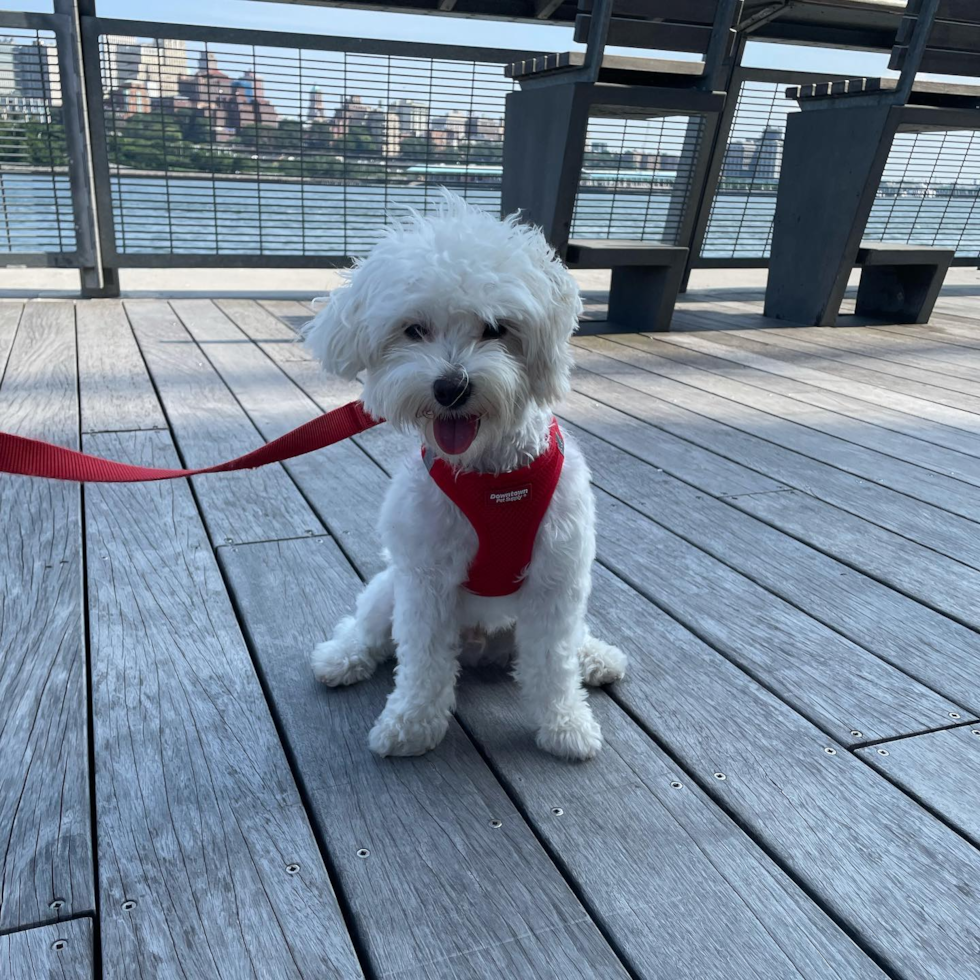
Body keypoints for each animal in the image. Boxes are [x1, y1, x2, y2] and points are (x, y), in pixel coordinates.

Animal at [306, 191, 628, 756]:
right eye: (414, 329)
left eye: (497, 329)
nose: (450, 388)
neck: (491, 474)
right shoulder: (426, 579)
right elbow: (423, 663)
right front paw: (411, 724)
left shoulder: (556, 578)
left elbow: (553, 663)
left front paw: (565, 725)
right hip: (391, 587)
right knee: (367, 627)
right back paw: (341, 658)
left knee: (568, 644)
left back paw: (595, 656)